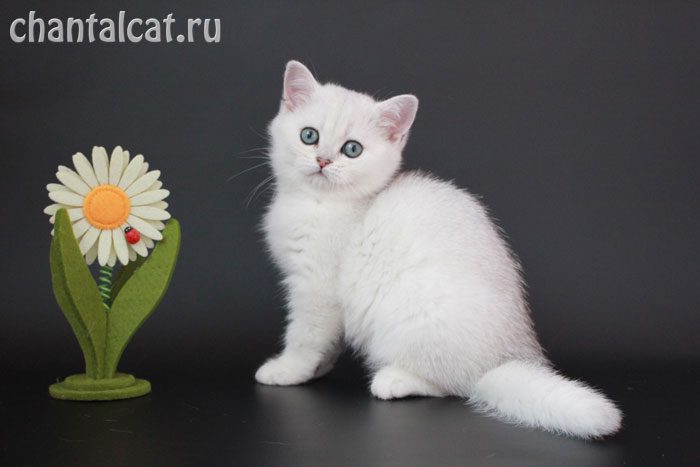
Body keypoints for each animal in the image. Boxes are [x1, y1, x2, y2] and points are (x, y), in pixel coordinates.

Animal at [254, 61, 620, 438]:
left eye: (352, 149)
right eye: (309, 135)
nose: (323, 160)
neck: (317, 203)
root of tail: (506, 357)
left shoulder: (317, 290)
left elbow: (304, 336)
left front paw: (287, 370)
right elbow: (327, 339)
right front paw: (320, 367)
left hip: (415, 312)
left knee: (453, 385)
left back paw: (395, 380)